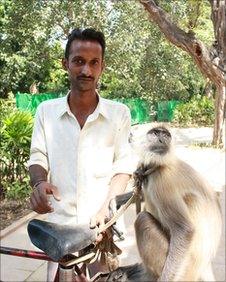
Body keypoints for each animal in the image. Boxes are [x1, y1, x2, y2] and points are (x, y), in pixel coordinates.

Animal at [133, 124, 222, 280]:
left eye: (166, 135)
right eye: (154, 133)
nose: (162, 140)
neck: (157, 166)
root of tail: (205, 266)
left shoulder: (162, 180)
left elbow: (184, 230)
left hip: (186, 267)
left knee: (142, 219)